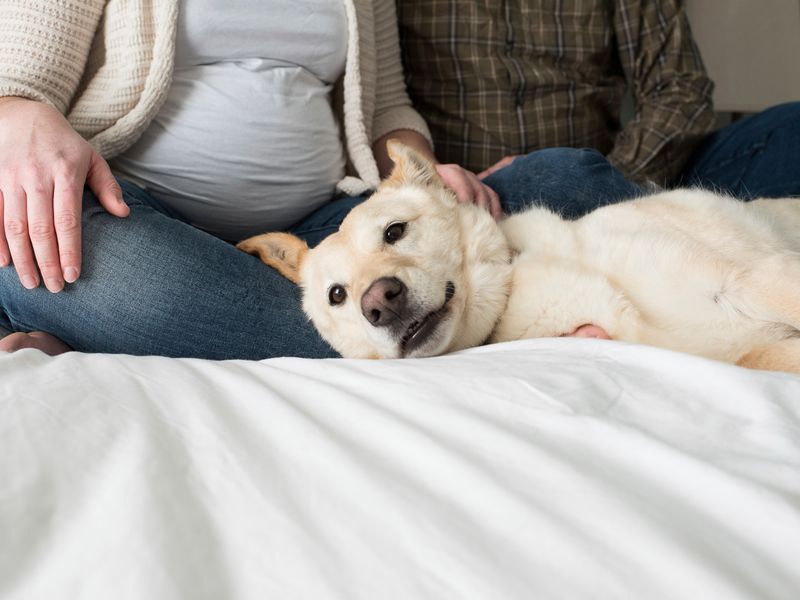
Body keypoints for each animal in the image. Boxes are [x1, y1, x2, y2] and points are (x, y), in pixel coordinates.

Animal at [238, 142, 800, 372]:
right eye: (337, 295)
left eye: (395, 231)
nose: (379, 303)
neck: (518, 278)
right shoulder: (738, 349)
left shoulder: (758, 276)